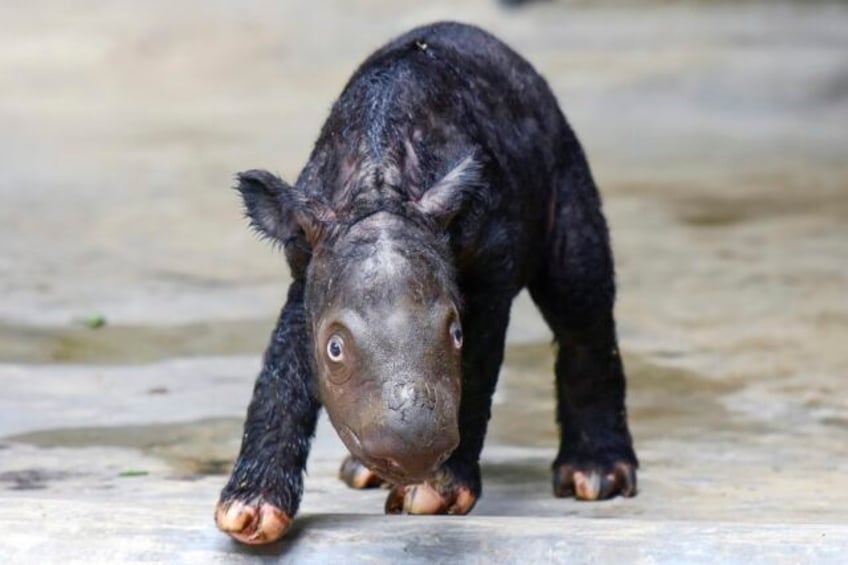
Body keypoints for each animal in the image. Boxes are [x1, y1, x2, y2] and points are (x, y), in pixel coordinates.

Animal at [217, 20, 636, 540]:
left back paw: (595, 478)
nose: (412, 454)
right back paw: (364, 475)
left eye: (455, 332)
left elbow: (476, 370)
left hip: (563, 155)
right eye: (334, 349)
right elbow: (283, 366)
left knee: (579, 297)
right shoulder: (309, 261)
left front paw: (434, 494)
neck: (379, 187)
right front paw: (248, 511)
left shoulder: (488, 269)